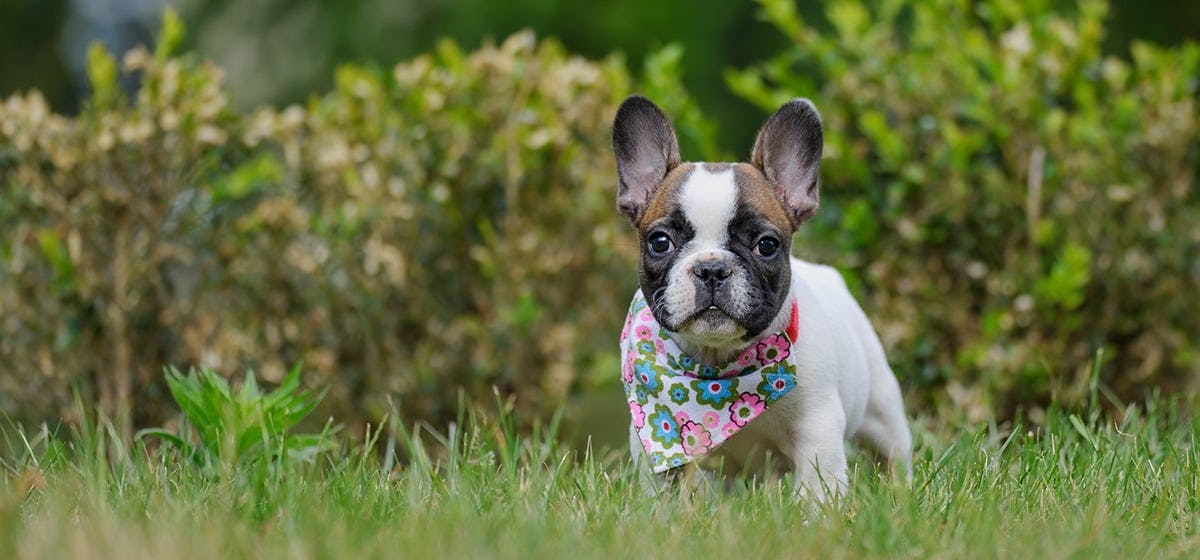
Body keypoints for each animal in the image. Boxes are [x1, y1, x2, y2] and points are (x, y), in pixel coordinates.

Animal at [619, 94, 907, 501]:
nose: (711, 268)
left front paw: (815, 513)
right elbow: (660, 487)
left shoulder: (818, 429)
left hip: (883, 410)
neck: (718, 372)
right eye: (660, 242)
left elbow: (817, 486)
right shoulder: (657, 443)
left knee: (894, 454)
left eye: (766, 246)